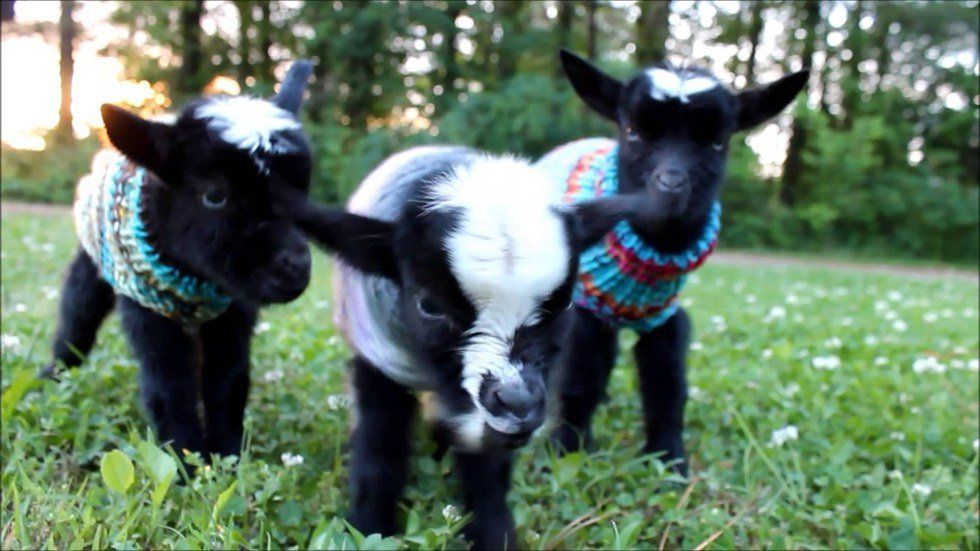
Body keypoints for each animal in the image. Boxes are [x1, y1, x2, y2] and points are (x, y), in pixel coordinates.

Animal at [44, 60, 314, 460]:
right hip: (92, 266)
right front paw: (185, 457)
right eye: (214, 195)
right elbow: (169, 386)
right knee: (76, 320)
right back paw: (53, 376)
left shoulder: (234, 309)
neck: (197, 278)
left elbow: (228, 381)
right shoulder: (147, 308)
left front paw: (226, 456)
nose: (297, 268)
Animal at [276, 146, 644, 548]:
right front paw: (367, 529)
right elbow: (379, 446)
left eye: (563, 305)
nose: (518, 405)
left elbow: (486, 467)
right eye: (429, 306)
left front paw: (494, 534)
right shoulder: (379, 360)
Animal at [540, 49, 808, 476]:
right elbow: (579, 378)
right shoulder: (587, 311)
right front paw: (567, 451)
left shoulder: (664, 317)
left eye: (717, 141)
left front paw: (669, 460)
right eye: (632, 131)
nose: (669, 187)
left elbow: (666, 384)